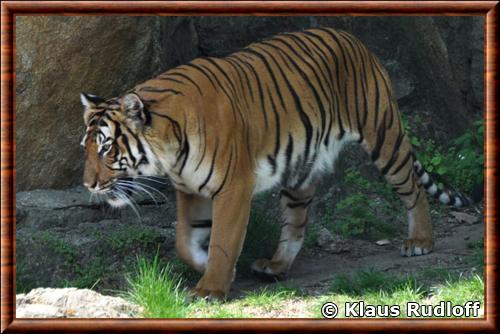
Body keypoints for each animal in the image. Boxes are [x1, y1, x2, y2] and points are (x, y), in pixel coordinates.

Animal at [80, 27, 478, 300]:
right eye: (86, 148)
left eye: (106, 149)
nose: (88, 184)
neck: (169, 150)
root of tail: (352, 37)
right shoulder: (191, 190)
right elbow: (183, 240)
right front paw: (208, 267)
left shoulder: (233, 187)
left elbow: (223, 239)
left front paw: (211, 287)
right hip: (300, 168)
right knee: (298, 223)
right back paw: (276, 265)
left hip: (384, 136)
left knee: (413, 189)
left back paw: (420, 240)